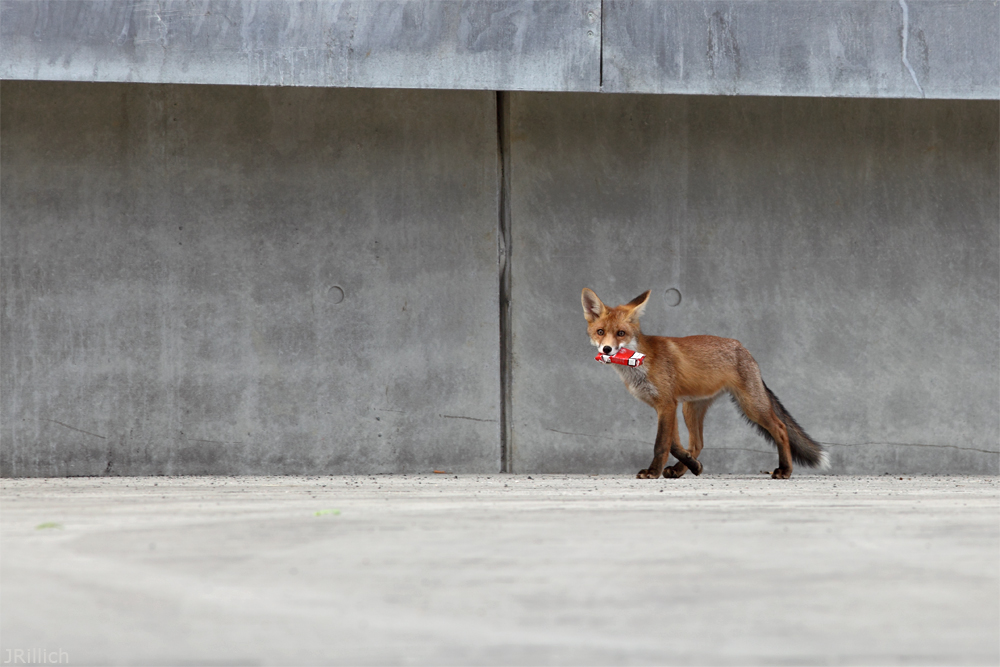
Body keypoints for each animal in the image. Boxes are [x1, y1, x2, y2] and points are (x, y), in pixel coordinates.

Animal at [584, 288, 824, 480]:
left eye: (621, 333)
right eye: (600, 332)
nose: (607, 349)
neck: (641, 362)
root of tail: (743, 349)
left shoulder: (667, 405)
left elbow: (661, 444)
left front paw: (653, 472)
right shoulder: (667, 405)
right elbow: (674, 444)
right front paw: (693, 465)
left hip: (751, 405)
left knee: (781, 429)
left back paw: (785, 470)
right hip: (691, 408)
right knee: (698, 443)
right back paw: (681, 469)